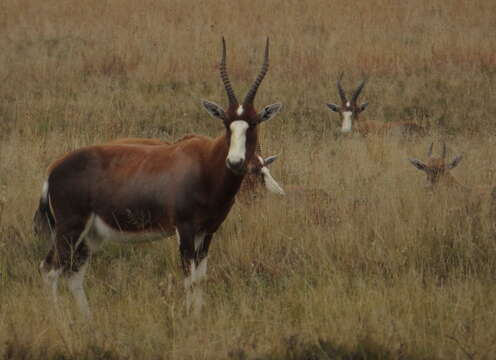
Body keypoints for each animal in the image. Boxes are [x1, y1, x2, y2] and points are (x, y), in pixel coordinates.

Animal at [36, 38, 280, 316]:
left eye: (254, 122)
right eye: (226, 122)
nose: (236, 162)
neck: (205, 163)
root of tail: (53, 170)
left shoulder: (207, 232)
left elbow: (200, 279)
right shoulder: (185, 229)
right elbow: (189, 278)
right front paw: (190, 318)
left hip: (90, 236)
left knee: (74, 273)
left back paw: (87, 319)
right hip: (69, 230)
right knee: (50, 269)